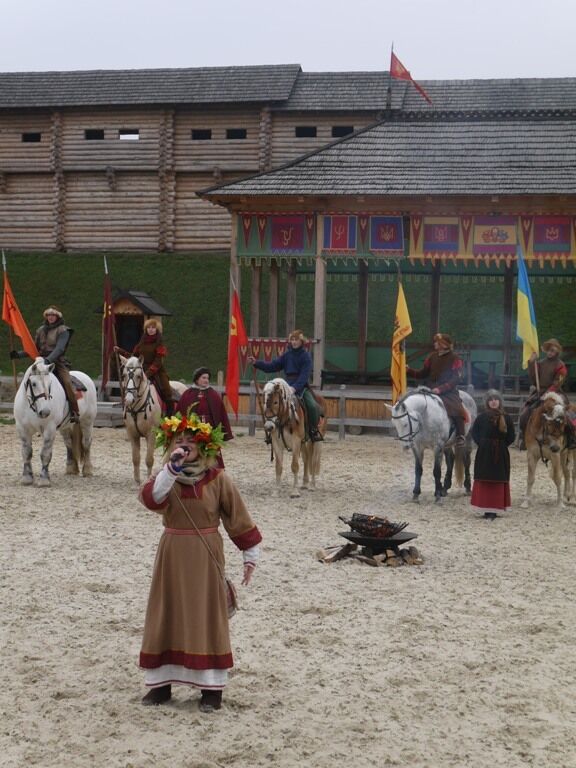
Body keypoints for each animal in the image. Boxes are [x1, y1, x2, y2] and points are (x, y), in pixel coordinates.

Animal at [14, 356, 97, 486]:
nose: (45, 412)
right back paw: (71, 468)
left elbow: (45, 454)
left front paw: (44, 479)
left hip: (87, 421)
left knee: (86, 443)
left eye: (50, 384)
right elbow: (26, 452)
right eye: (34, 383)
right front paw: (27, 478)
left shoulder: (50, 429)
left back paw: (87, 470)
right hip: (65, 427)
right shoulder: (23, 429)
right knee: (69, 443)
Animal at [118, 356, 186, 484]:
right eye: (124, 375)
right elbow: (135, 458)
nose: (128, 399)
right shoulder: (132, 434)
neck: (137, 408)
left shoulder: (151, 434)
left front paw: (148, 479)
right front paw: (137, 479)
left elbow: (149, 459)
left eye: (138, 376)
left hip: (176, 431)